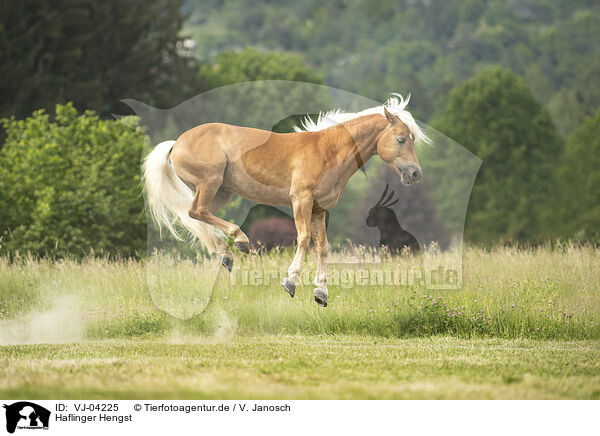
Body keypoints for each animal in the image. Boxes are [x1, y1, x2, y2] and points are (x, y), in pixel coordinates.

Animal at [143, 94, 428, 306]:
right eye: (401, 139)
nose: (416, 174)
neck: (328, 151)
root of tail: (177, 142)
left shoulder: (319, 208)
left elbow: (322, 247)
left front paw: (321, 293)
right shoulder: (300, 199)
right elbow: (303, 238)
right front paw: (291, 282)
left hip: (221, 192)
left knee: (194, 215)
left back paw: (226, 253)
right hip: (210, 184)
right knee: (196, 212)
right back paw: (240, 240)